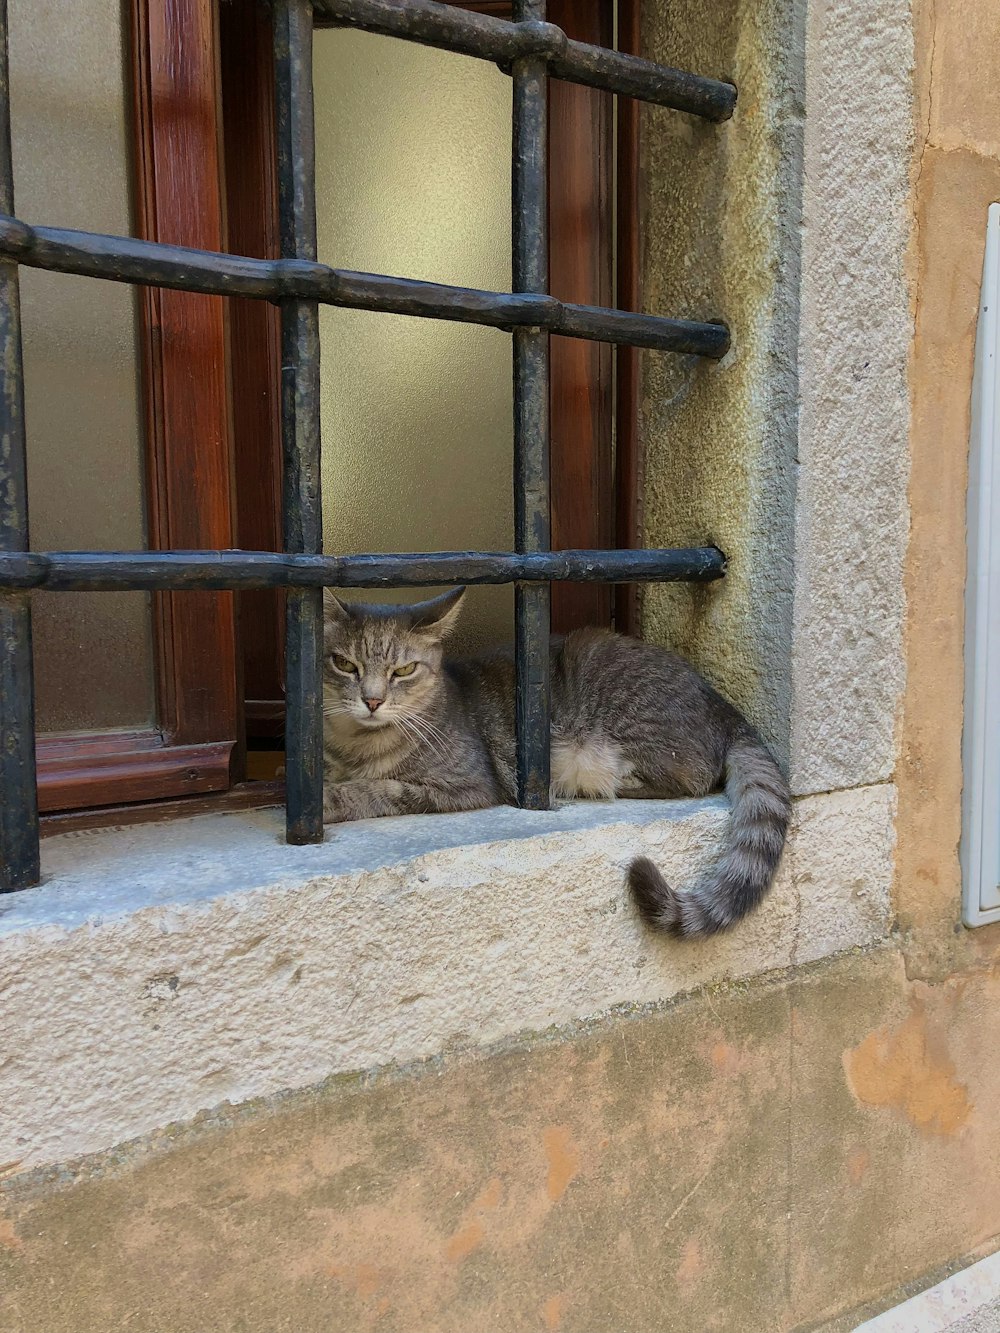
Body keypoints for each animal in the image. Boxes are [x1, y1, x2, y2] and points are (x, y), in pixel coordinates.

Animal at [325, 583, 794, 938]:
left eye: (404, 670)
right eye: (344, 664)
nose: (372, 700)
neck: (355, 743)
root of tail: (726, 709)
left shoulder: (467, 785)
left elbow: (380, 789)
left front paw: (336, 799)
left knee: (691, 775)